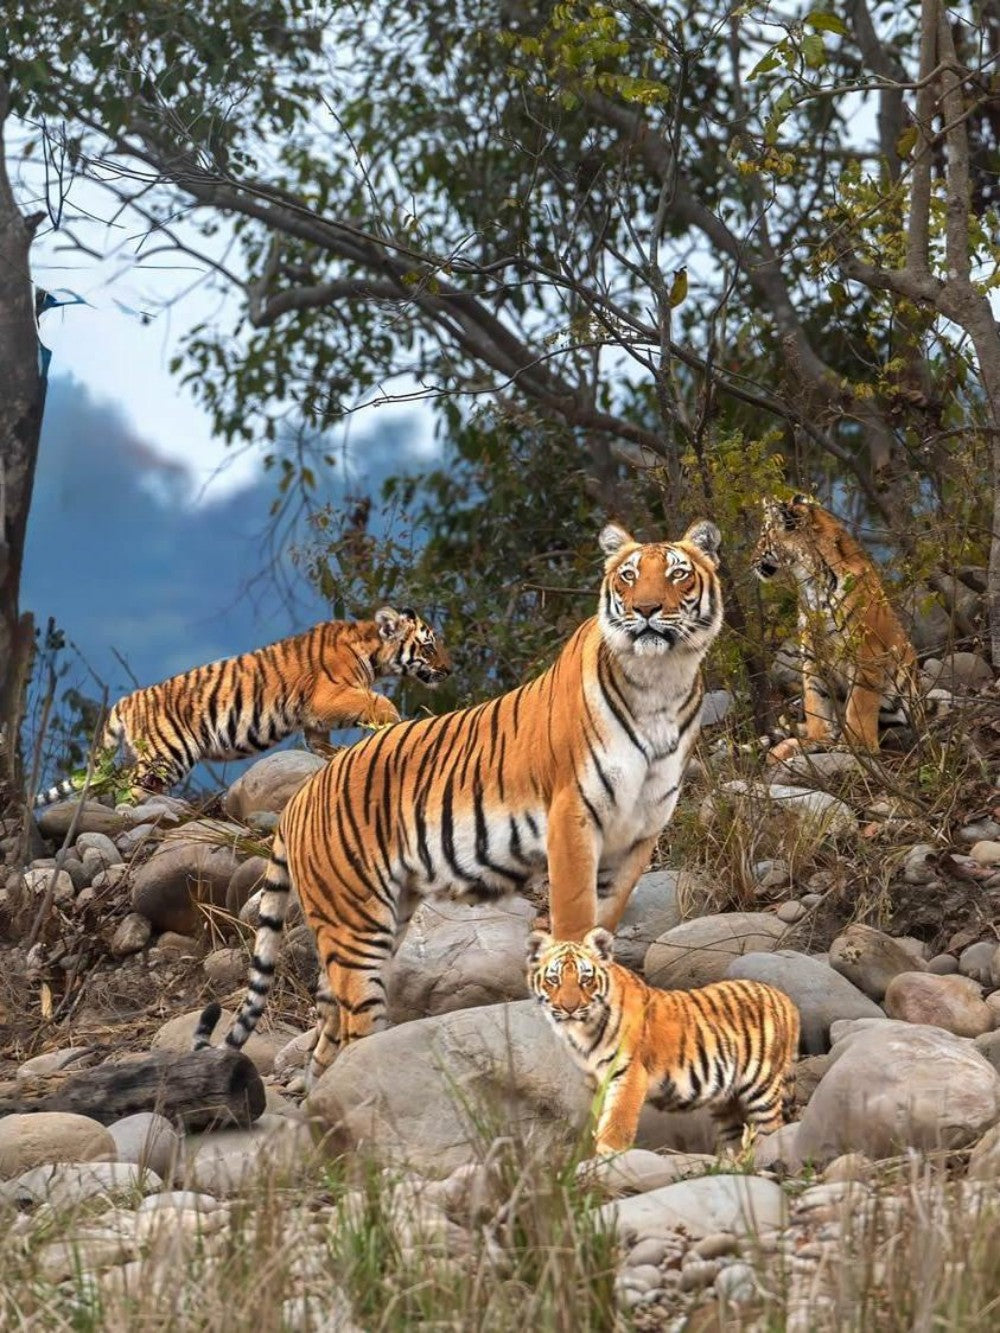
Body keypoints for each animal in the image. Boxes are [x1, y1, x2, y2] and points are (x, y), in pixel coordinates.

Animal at [34, 607, 451, 806]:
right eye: (429, 646)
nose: (449, 669)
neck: (373, 652)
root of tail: (128, 698)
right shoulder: (331, 695)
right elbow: (376, 700)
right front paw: (393, 722)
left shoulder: (313, 717)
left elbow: (318, 744)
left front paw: (334, 755)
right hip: (166, 756)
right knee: (128, 792)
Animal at [192, 519, 724, 1084]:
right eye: (628, 576)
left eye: (677, 573)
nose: (645, 609)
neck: (659, 684)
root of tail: (301, 797)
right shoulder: (573, 819)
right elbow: (575, 921)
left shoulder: (640, 832)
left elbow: (606, 918)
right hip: (356, 923)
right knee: (356, 1026)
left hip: (382, 914)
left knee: (327, 1034)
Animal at [527, 928, 800, 1155]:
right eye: (554, 980)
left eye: (585, 979)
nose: (569, 1008)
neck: (582, 1031)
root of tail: (785, 999)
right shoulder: (595, 1080)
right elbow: (599, 1116)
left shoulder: (628, 1073)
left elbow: (618, 1118)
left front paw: (607, 1154)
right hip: (727, 1101)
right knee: (736, 1134)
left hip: (762, 1087)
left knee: (772, 1128)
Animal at [751, 494, 920, 763]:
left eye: (764, 537)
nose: (752, 560)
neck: (811, 583)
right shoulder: (813, 657)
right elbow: (815, 701)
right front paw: (816, 740)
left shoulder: (865, 656)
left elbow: (860, 704)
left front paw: (859, 744)